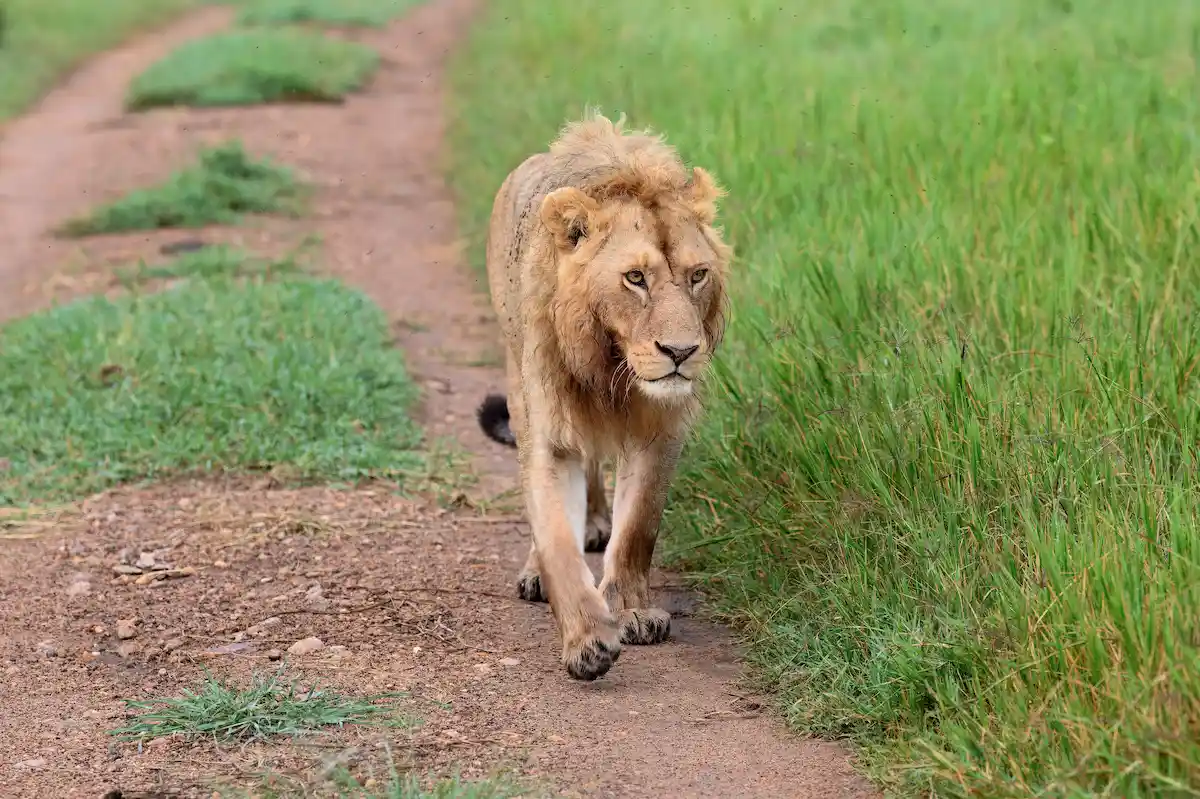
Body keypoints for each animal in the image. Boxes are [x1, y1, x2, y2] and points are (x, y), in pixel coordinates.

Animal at [475, 111, 732, 681]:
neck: (612, 366)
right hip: (515, 372)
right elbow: (556, 537)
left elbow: (637, 528)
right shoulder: (550, 433)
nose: (681, 351)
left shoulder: (660, 431)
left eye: (697, 275)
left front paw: (633, 613)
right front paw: (588, 639)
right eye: (635, 278)